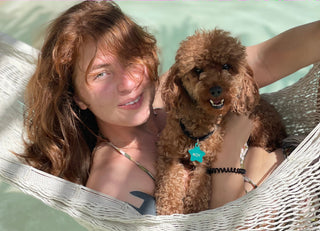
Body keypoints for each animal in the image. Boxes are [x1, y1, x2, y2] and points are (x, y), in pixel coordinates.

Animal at [156, 28, 288, 215]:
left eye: (226, 66)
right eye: (197, 69)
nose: (216, 89)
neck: (198, 129)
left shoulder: (205, 163)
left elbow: (199, 190)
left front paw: (193, 211)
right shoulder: (167, 155)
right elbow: (169, 184)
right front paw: (171, 209)